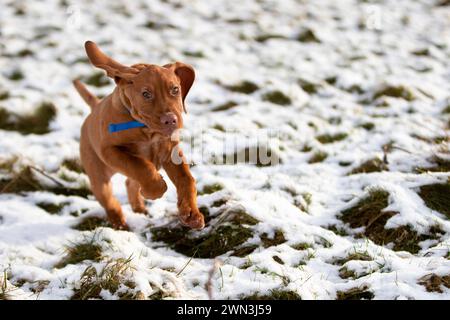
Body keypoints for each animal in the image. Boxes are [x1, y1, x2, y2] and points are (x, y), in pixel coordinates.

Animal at [72, 40, 206, 230]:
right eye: (146, 94)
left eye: (175, 90)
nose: (171, 120)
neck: (147, 131)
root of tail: (95, 107)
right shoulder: (110, 151)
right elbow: (139, 166)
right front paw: (155, 190)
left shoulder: (170, 151)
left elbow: (186, 179)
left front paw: (191, 214)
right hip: (98, 175)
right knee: (109, 199)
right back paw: (119, 223)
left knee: (131, 182)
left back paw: (139, 208)